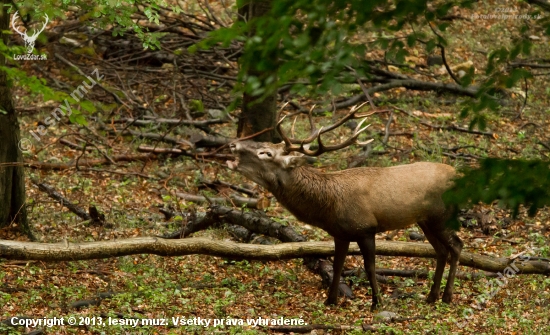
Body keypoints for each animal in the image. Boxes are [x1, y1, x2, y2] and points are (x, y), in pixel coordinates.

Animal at [226, 105, 464, 312]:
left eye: (266, 153)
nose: (233, 144)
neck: (328, 207)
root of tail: (459, 175)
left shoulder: (366, 228)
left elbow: (369, 267)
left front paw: (377, 303)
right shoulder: (340, 233)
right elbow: (338, 265)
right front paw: (330, 300)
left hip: (442, 215)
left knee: (457, 246)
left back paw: (447, 296)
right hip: (425, 220)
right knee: (441, 251)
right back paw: (432, 296)